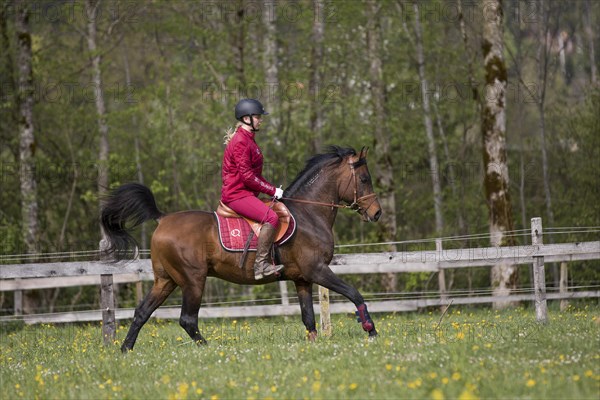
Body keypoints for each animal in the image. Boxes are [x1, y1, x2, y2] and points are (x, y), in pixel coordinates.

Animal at [98, 145, 380, 352]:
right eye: (364, 178)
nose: (377, 213)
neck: (308, 213)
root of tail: (163, 218)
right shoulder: (318, 271)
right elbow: (355, 294)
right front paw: (371, 330)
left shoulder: (303, 279)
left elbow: (308, 318)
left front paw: (312, 345)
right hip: (193, 280)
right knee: (187, 319)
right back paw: (208, 348)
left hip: (166, 280)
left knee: (142, 312)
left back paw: (126, 349)